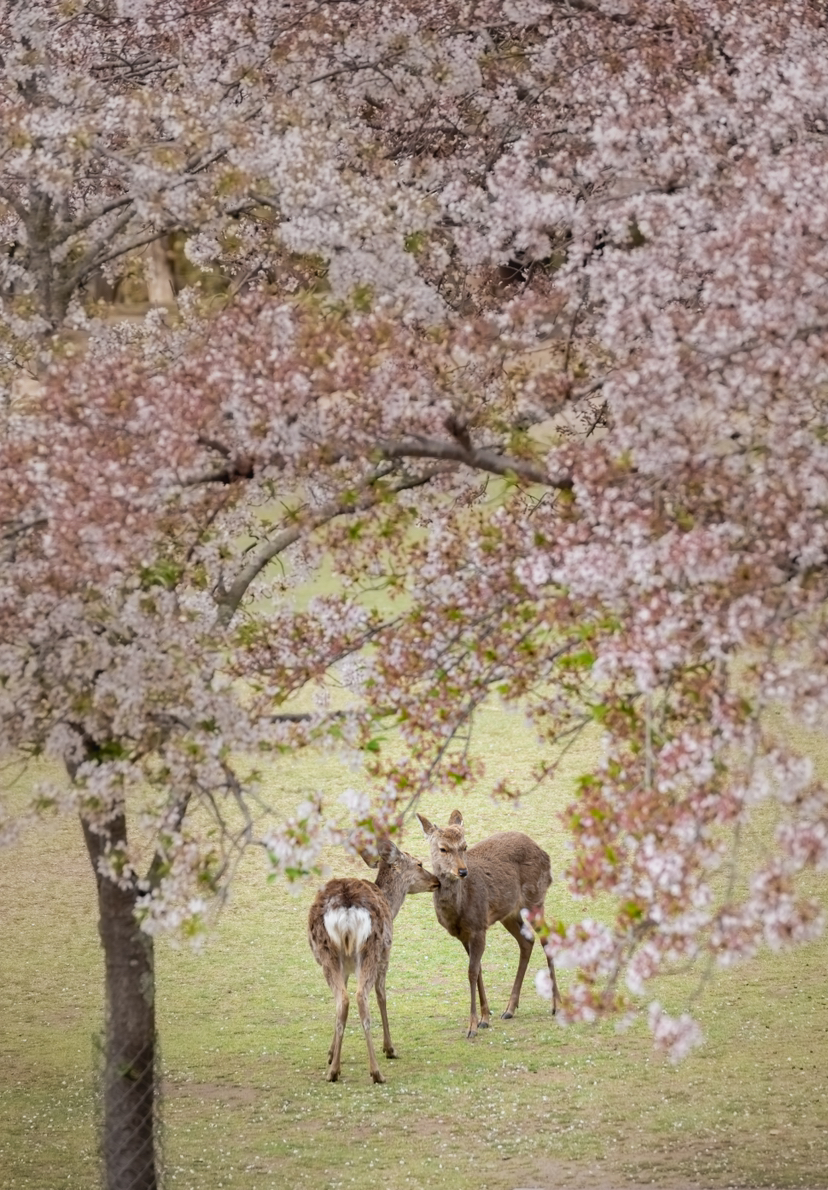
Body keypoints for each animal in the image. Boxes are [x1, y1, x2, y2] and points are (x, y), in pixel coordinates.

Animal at [306, 842, 440, 1085]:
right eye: (419, 863)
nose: (437, 881)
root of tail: (347, 908)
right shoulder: (386, 954)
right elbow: (382, 995)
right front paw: (390, 1048)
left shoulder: (345, 969)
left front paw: (330, 1053)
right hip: (371, 949)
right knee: (361, 997)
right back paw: (376, 1072)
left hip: (327, 953)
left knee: (343, 999)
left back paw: (333, 1070)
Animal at [414, 809, 563, 1042]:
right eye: (443, 848)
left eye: (464, 846)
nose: (462, 871)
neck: (458, 910)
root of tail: (545, 853)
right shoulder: (464, 934)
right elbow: (478, 970)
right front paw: (485, 1018)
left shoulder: (478, 927)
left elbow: (471, 972)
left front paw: (472, 1026)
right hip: (508, 912)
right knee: (527, 940)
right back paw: (509, 1008)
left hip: (535, 899)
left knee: (547, 937)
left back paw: (557, 1005)